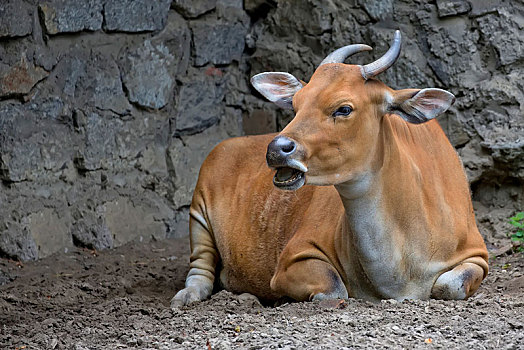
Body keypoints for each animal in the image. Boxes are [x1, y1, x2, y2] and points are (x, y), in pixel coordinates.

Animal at [171, 31, 488, 308]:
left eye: (343, 108)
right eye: (295, 104)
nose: (277, 149)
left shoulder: (477, 257)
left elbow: (449, 285)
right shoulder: (293, 258)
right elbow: (334, 288)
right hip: (198, 215)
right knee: (200, 269)